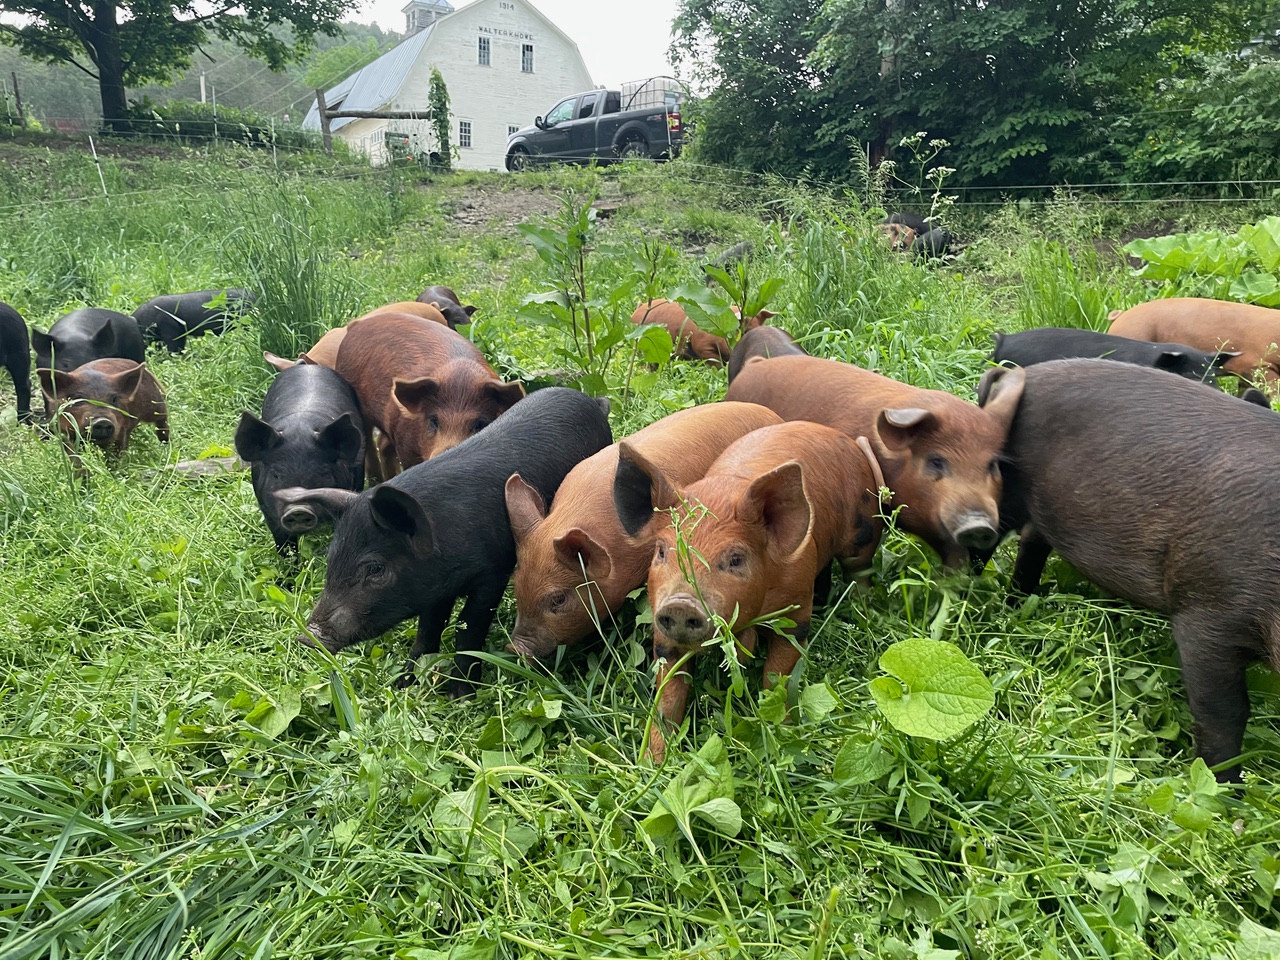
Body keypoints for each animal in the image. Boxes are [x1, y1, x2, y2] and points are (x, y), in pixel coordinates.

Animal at [37, 359, 168, 453]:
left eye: (114, 398)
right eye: (78, 398)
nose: (103, 420)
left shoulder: (121, 429)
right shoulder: (64, 432)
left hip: (154, 404)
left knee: (163, 417)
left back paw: (165, 445)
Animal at [234, 364, 365, 554]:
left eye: (323, 473)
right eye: (276, 474)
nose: (298, 509)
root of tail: (307, 365)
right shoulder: (267, 510)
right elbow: (284, 544)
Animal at [279, 386, 612, 696]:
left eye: (374, 568)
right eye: (332, 558)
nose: (308, 636)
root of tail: (590, 400)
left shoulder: (493, 573)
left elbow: (470, 626)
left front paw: (460, 696)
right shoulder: (432, 588)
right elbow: (428, 628)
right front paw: (404, 684)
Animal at [613, 421, 885, 763]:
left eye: (735, 559)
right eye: (662, 551)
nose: (681, 605)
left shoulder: (796, 613)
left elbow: (778, 674)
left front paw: (782, 736)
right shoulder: (663, 634)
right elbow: (668, 696)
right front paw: (653, 763)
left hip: (864, 531)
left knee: (859, 572)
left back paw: (862, 610)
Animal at [976, 359, 1280, 781]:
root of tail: (1017, 374)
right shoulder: (1206, 613)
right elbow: (1224, 715)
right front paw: (1224, 791)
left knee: (1032, 542)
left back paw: (1021, 605)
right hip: (1001, 489)